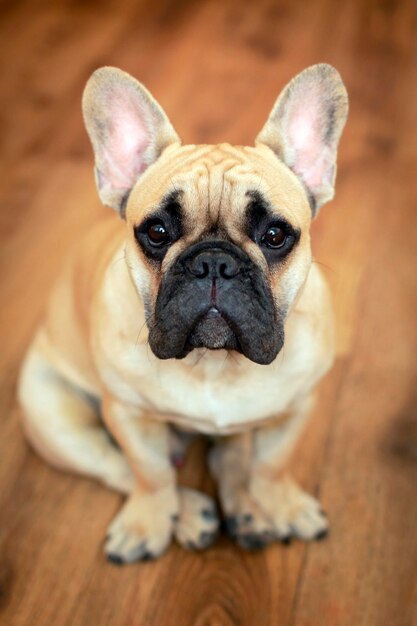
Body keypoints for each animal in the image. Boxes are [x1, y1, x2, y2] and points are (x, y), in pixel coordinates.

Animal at [17, 62, 348, 560]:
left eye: (274, 235)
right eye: (156, 232)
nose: (214, 262)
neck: (212, 363)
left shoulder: (296, 408)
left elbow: (271, 463)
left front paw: (280, 502)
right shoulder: (128, 415)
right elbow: (150, 474)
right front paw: (150, 520)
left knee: (229, 455)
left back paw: (246, 510)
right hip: (50, 415)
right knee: (117, 465)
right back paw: (190, 513)